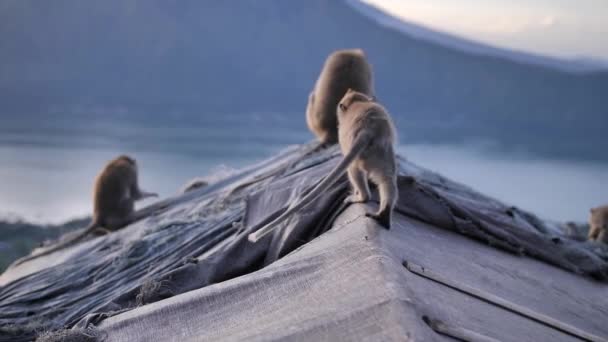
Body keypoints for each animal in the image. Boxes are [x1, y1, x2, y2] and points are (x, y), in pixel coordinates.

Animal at [14, 155, 158, 264]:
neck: (119, 160)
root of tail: (99, 215)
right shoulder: (131, 172)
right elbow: (135, 194)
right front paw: (152, 195)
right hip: (120, 210)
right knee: (128, 200)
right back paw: (129, 219)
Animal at [248, 89, 396, 242]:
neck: (358, 103)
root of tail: (368, 131)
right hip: (379, 155)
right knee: (387, 179)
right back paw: (383, 214)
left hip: (363, 155)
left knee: (353, 170)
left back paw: (362, 197)